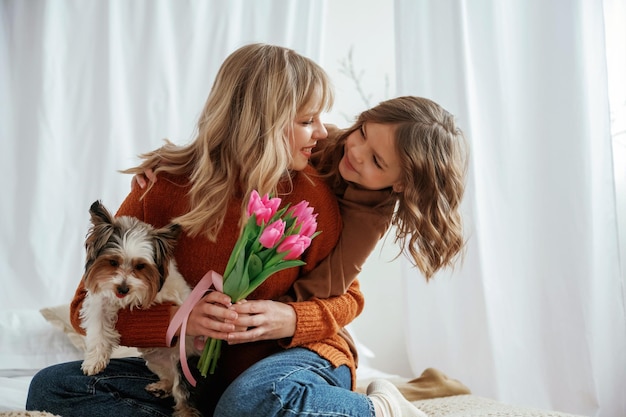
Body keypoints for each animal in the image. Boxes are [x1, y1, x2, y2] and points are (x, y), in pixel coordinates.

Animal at [79, 200, 199, 414]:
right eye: (113, 262)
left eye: (140, 266)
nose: (123, 288)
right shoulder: (99, 302)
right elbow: (98, 328)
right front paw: (94, 361)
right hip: (155, 362)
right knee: (169, 379)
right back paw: (162, 387)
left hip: (183, 366)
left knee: (183, 397)